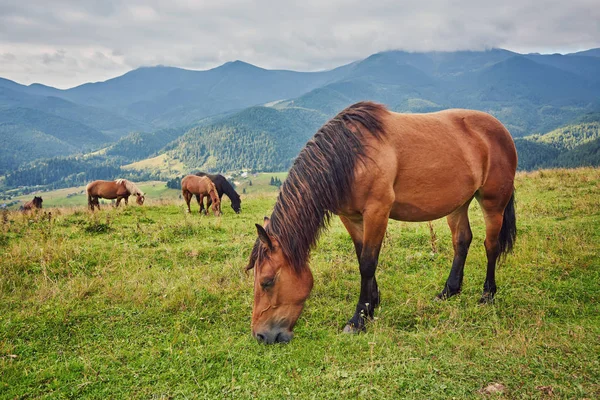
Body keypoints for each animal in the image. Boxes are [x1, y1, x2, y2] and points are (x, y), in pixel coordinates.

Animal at [246, 101, 516, 344]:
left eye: (267, 282)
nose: (261, 336)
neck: (350, 156)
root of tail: (501, 130)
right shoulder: (351, 217)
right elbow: (361, 257)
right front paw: (372, 305)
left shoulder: (377, 211)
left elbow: (367, 263)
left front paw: (358, 319)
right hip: (459, 203)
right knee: (461, 241)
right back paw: (449, 291)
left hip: (493, 204)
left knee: (490, 245)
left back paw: (487, 295)